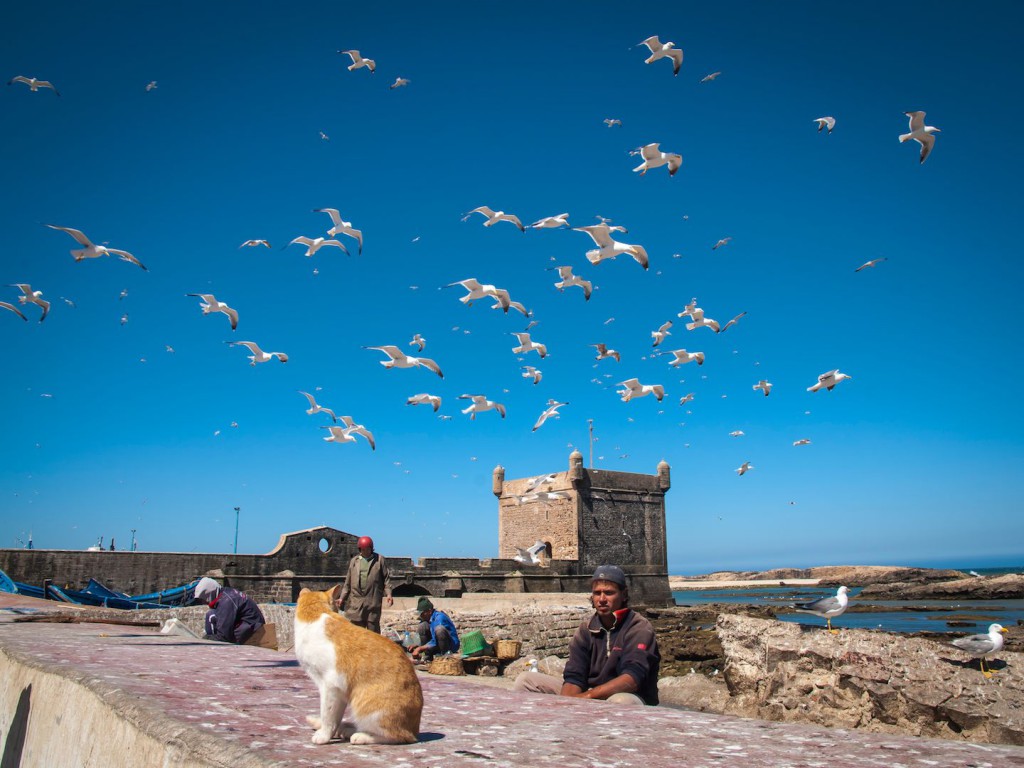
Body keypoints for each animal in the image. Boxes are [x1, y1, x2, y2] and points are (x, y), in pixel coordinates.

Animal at [294, 585, 421, 741]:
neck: (316, 613)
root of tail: (415, 730)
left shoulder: (330, 685)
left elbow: (327, 715)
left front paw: (324, 735)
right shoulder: (340, 692)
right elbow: (336, 717)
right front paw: (332, 732)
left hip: (366, 707)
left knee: (397, 736)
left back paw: (361, 736)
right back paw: (346, 730)